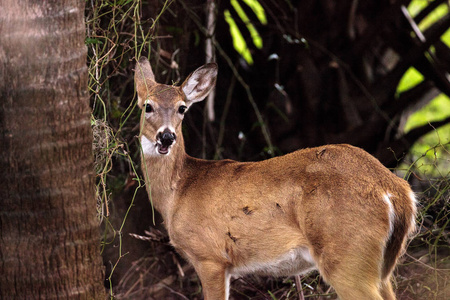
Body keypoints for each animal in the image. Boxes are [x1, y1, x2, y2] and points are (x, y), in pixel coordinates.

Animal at [134, 56, 418, 300]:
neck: (178, 191)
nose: (166, 136)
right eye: (148, 106)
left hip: (347, 253)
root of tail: (396, 190)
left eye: (182, 108)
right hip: (381, 266)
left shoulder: (209, 256)